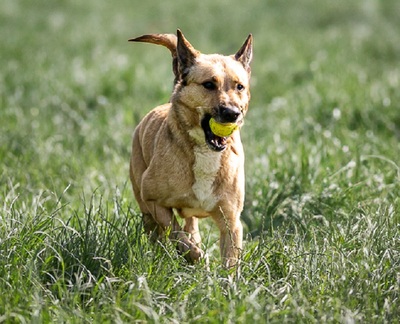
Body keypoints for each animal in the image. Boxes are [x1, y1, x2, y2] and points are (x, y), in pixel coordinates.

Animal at [129, 29, 253, 268]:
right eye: (209, 85)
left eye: (239, 86)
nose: (233, 113)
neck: (206, 152)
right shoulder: (153, 201)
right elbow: (175, 233)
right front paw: (195, 255)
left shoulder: (231, 221)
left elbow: (230, 262)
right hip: (144, 206)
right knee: (158, 234)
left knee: (190, 224)